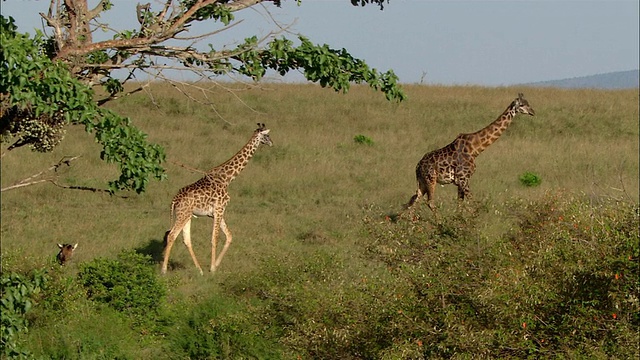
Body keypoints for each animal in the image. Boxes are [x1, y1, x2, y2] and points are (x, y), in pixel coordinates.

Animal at [162, 122, 272, 274]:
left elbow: (229, 236)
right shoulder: (219, 209)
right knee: (172, 235)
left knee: (186, 239)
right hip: (183, 214)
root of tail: (174, 200)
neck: (227, 178)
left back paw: (200, 270)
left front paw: (216, 265)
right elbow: (215, 238)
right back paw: (164, 270)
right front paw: (213, 268)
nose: (272, 143)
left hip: (186, 215)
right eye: (267, 135)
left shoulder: (215, 213)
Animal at [404, 91, 536, 212]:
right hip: (431, 179)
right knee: (429, 202)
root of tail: (418, 166)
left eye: (528, 103)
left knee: (413, 201)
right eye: (522, 105)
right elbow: (474, 204)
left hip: (422, 182)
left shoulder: (460, 181)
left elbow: (459, 205)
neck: (474, 149)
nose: (533, 112)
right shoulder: (463, 179)